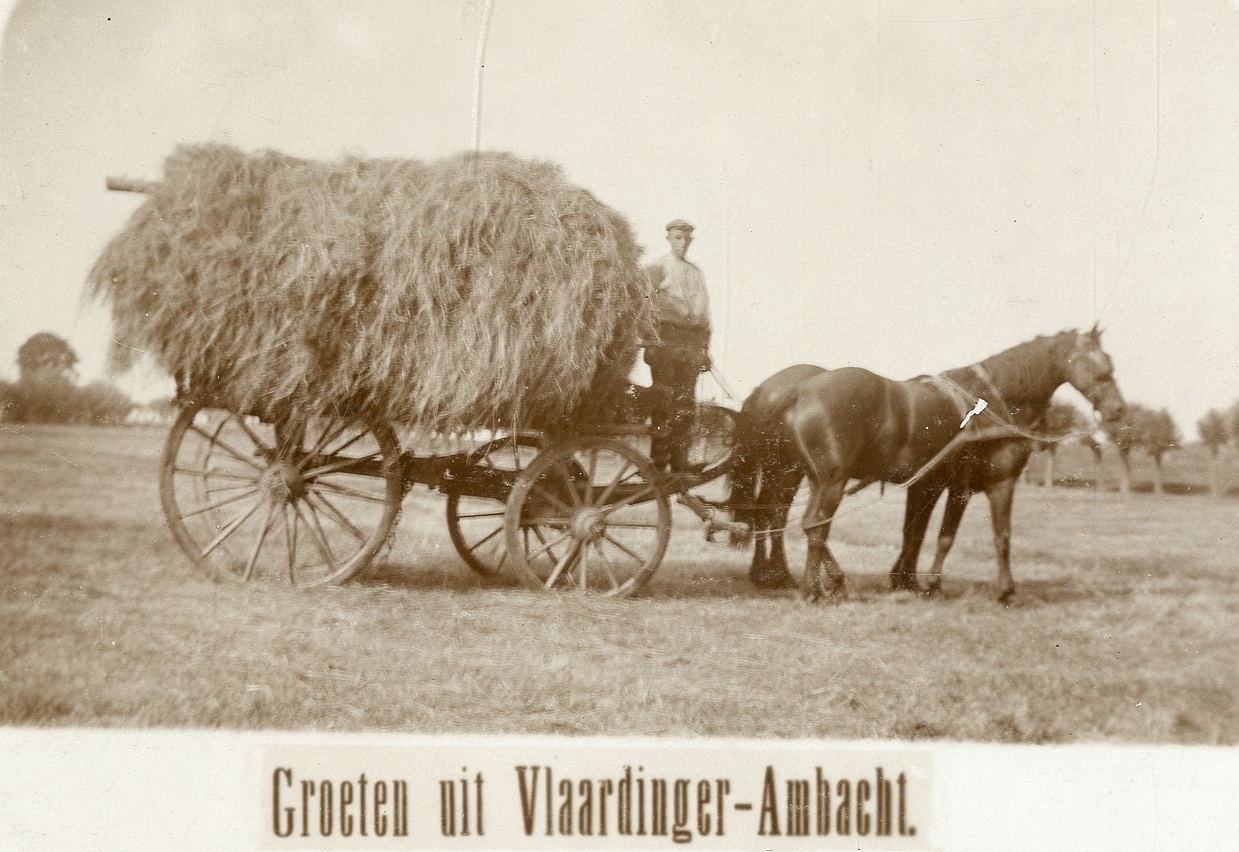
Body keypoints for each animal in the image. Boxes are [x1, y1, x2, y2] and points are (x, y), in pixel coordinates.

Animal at [728, 329, 1129, 601]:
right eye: (1100, 368)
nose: (1118, 410)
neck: (994, 401)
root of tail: (799, 390)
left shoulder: (929, 483)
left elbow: (916, 533)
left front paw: (905, 580)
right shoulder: (990, 485)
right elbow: (993, 536)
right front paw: (1002, 590)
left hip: (809, 477)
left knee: (787, 517)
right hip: (826, 480)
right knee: (807, 522)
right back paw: (809, 586)